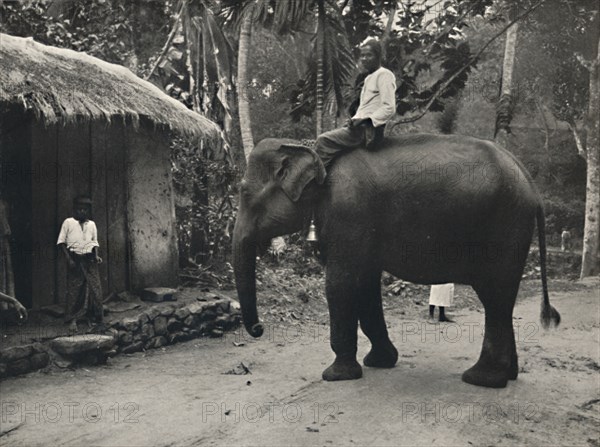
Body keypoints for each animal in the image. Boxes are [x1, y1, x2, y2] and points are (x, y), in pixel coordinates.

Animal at [232, 134, 560, 388]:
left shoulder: (349, 214)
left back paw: (481, 379)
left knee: (494, 297)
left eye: (244, 192)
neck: (310, 150)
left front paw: (336, 376)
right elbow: (365, 286)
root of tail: (530, 184)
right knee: (502, 301)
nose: (259, 329)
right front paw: (379, 362)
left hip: (503, 230)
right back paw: (508, 375)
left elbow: (341, 284)